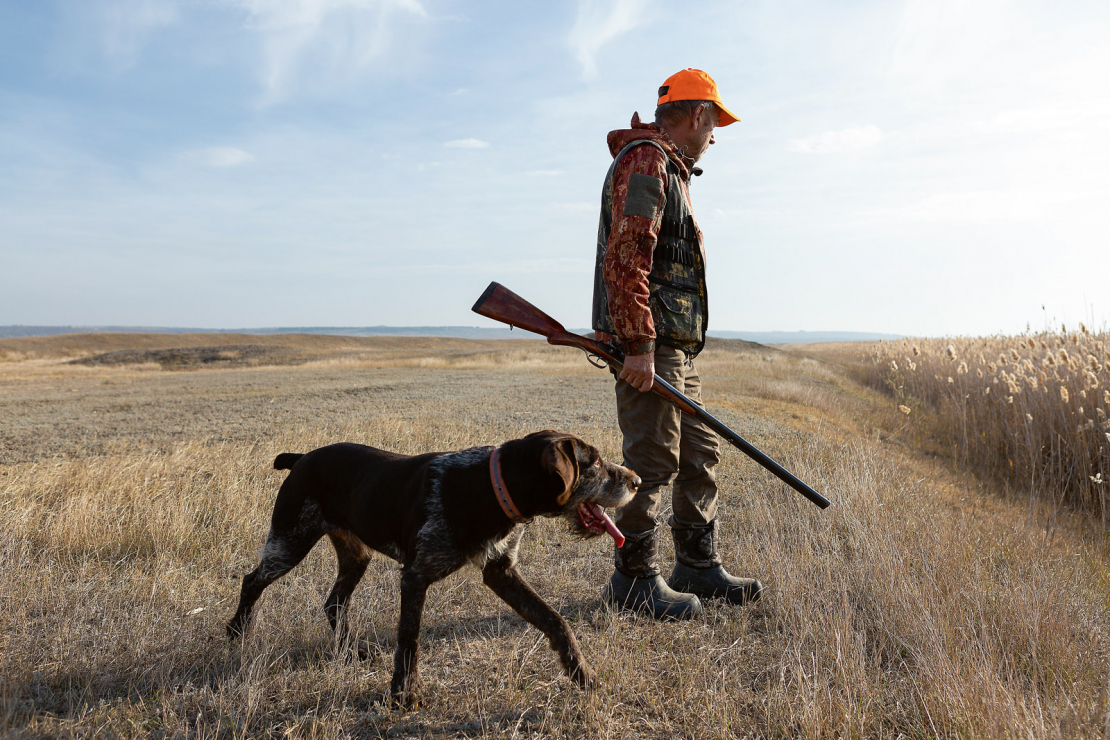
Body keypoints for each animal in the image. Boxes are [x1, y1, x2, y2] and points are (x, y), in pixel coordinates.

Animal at [225, 428, 639, 705]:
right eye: (594, 464)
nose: (636, 480)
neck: (490, 487)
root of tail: (301, 458)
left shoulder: (501, 572)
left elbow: (554, 619)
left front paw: (581, 672)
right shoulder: (415, 576)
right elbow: (409, 639)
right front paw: (402, 696)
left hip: (356, 555)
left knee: (335, 601)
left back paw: (351, 651)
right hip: (290, 541)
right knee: (252, 581)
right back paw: (236, 631)